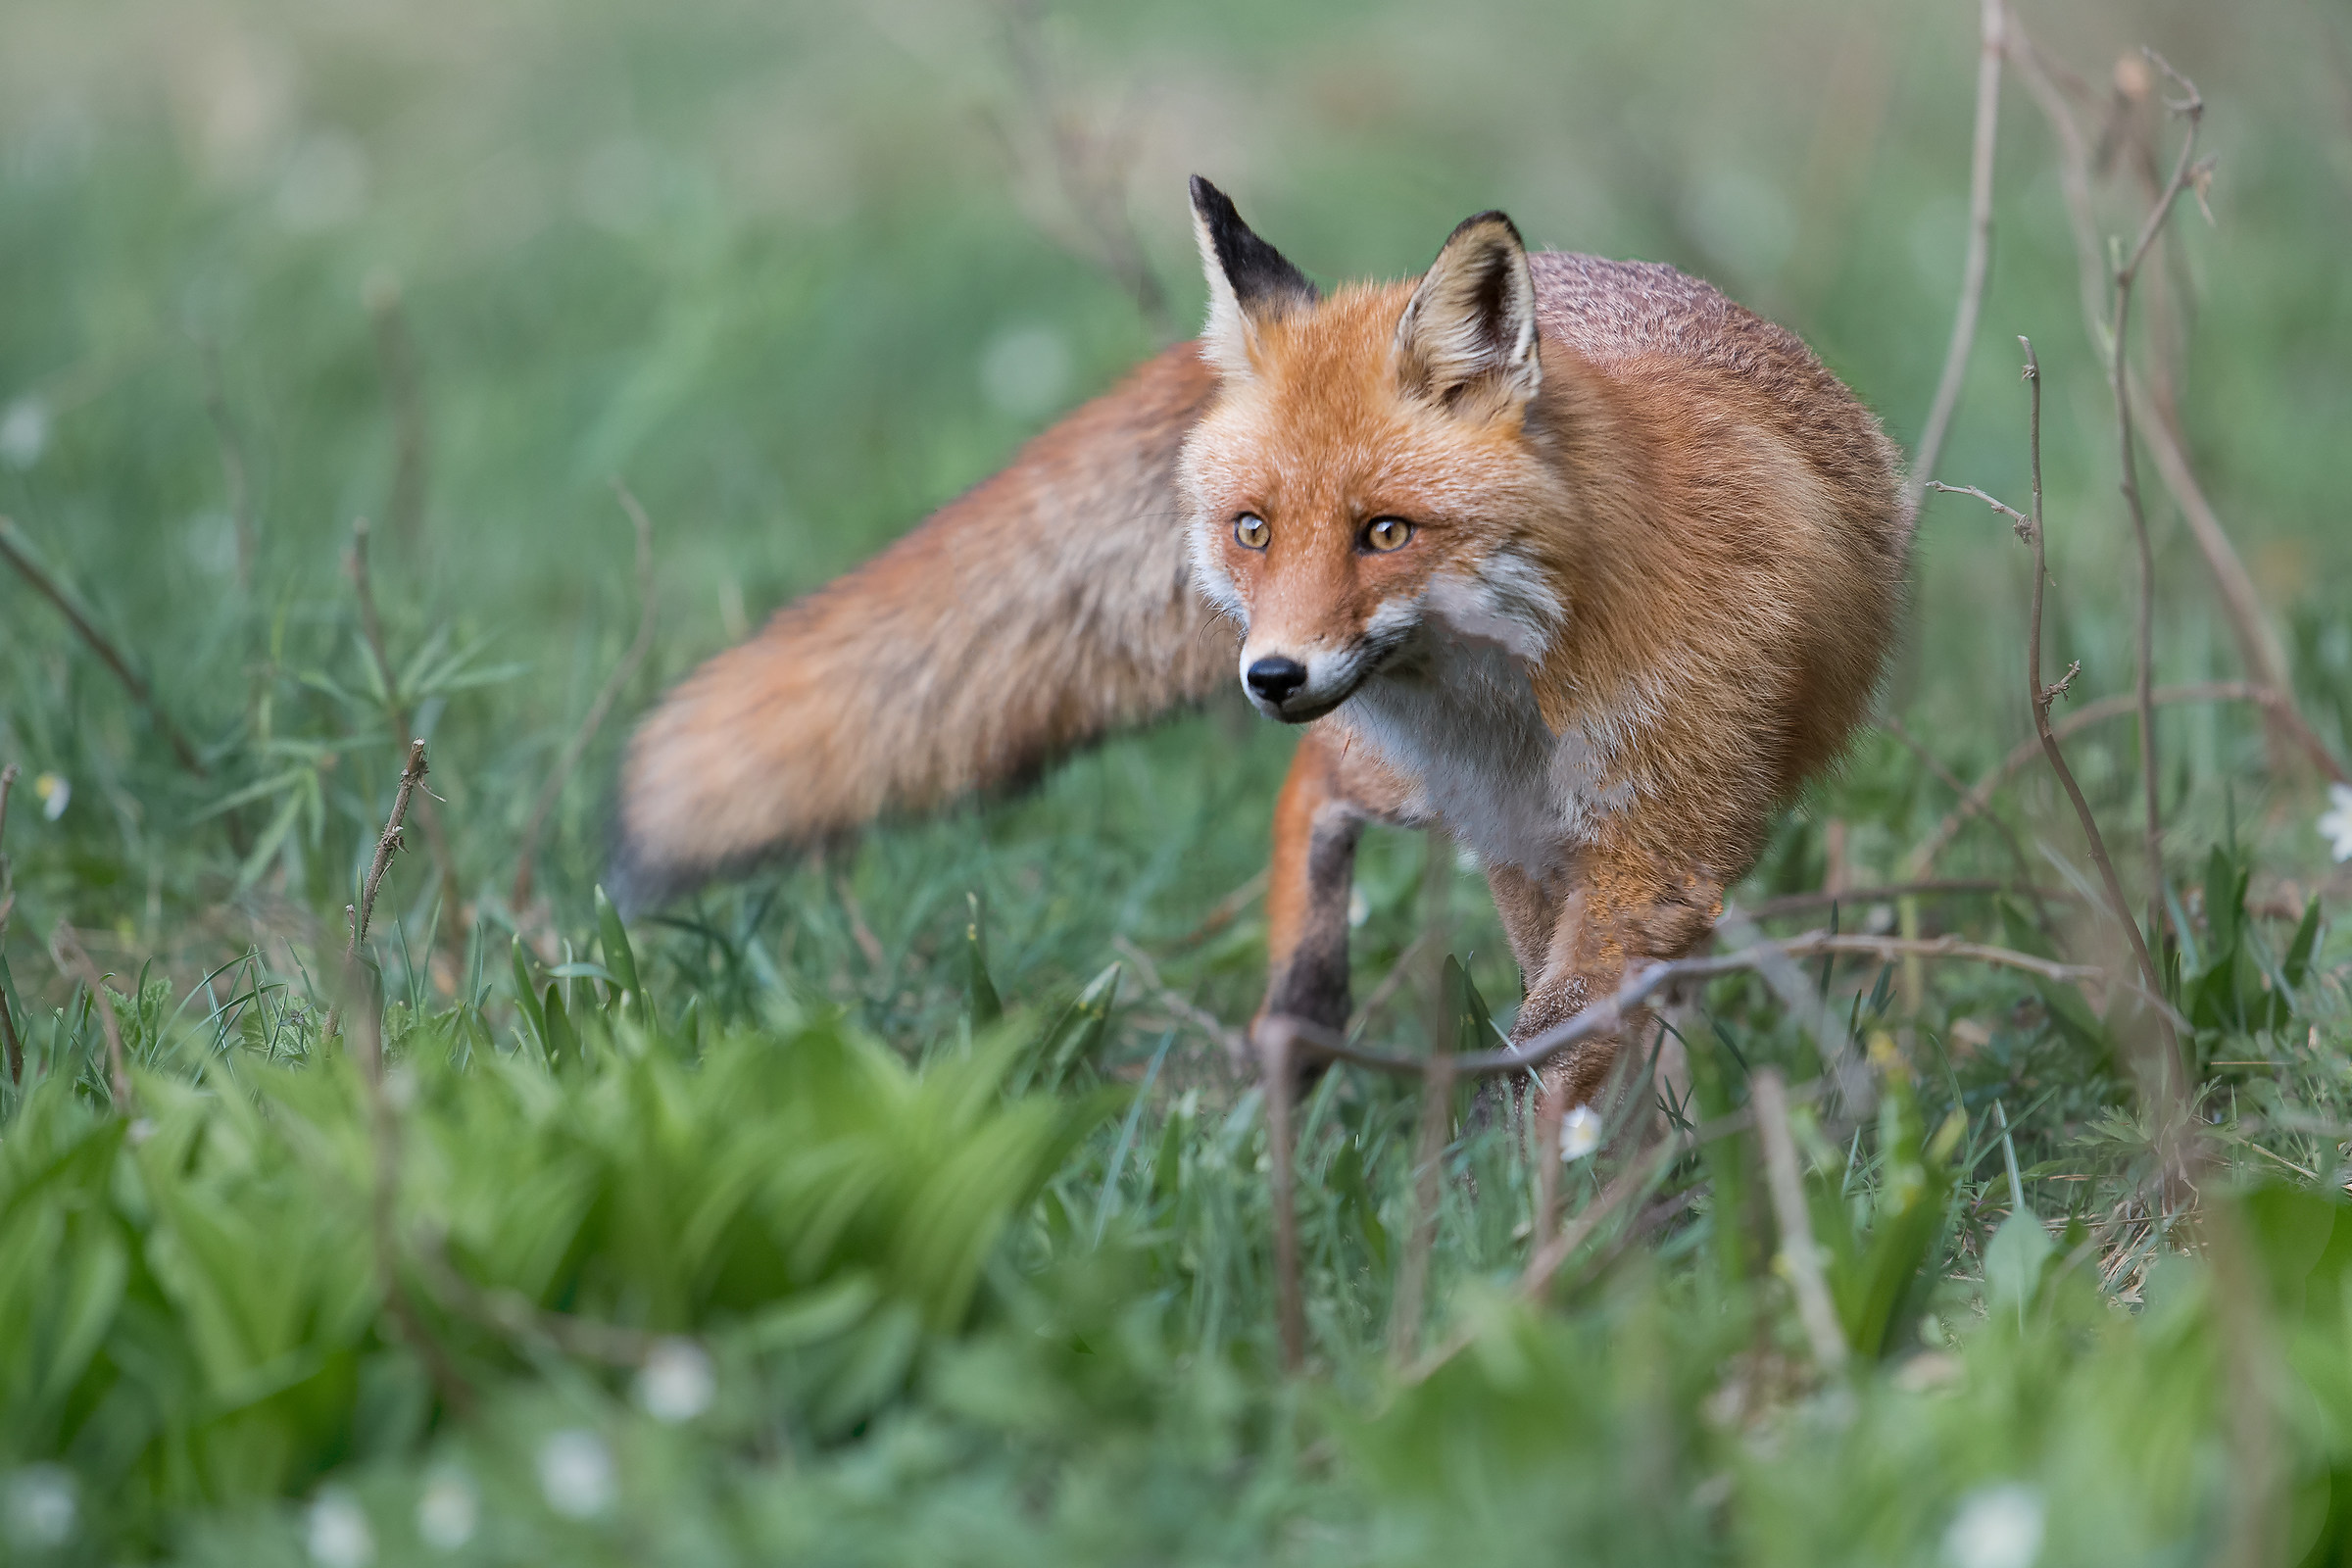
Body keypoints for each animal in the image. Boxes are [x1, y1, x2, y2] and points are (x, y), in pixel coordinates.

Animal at [610, 176, 1908, 1121]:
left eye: (1385, 531)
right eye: (1254, 529)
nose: (1271, 676)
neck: (1520, 691)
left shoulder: (1655, 854)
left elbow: (1564, 1036)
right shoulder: (1528, 841)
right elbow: (1553, 1038)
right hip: (1414, 787)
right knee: (1312, 787)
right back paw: (1304, 1003)